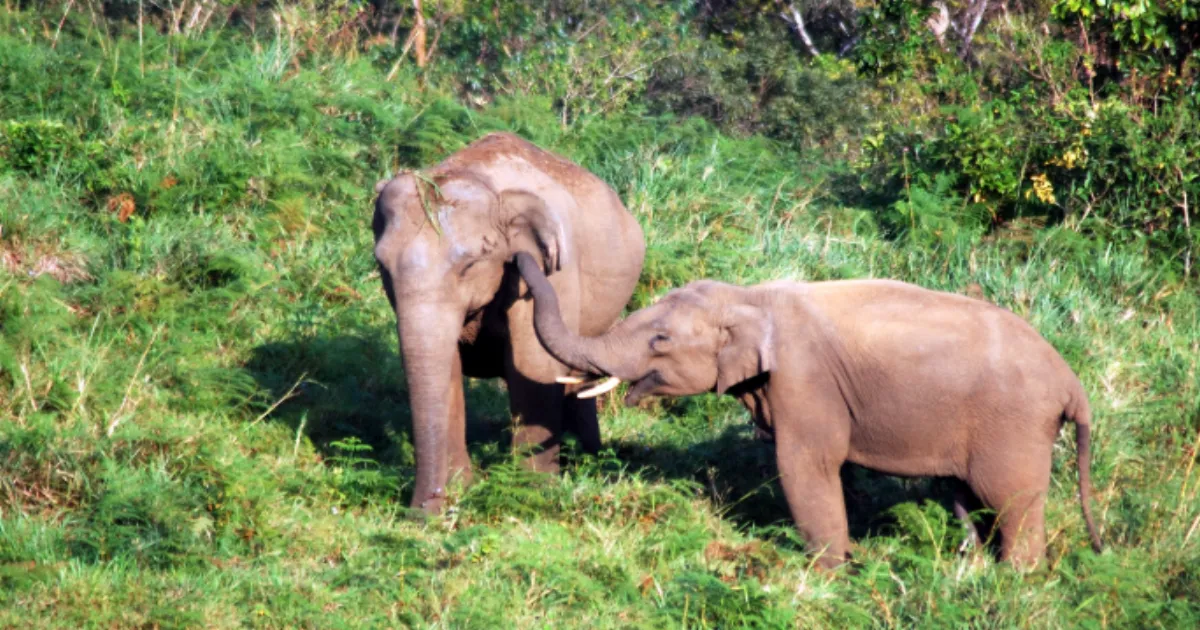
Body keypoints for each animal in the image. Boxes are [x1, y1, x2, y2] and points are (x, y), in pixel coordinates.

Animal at [371, 133, 645, 513]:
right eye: (381, 264)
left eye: (471, 264)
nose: (420, 515)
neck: (480, 179)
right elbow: (447, 368)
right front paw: (461, 488)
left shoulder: (555, 271)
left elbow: (532, 365)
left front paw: (530, 493)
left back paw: (587, 460)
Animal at [513, 252, 1103, 569]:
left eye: (660, 339)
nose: (521, 260)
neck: (751, 295)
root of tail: (1073, 385)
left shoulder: (804, 379)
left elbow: (806, 466)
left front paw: (827, 576)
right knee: (964, 498)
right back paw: (970, 567)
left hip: (1015, 425)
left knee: (1013, 504)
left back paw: (1017, 581)